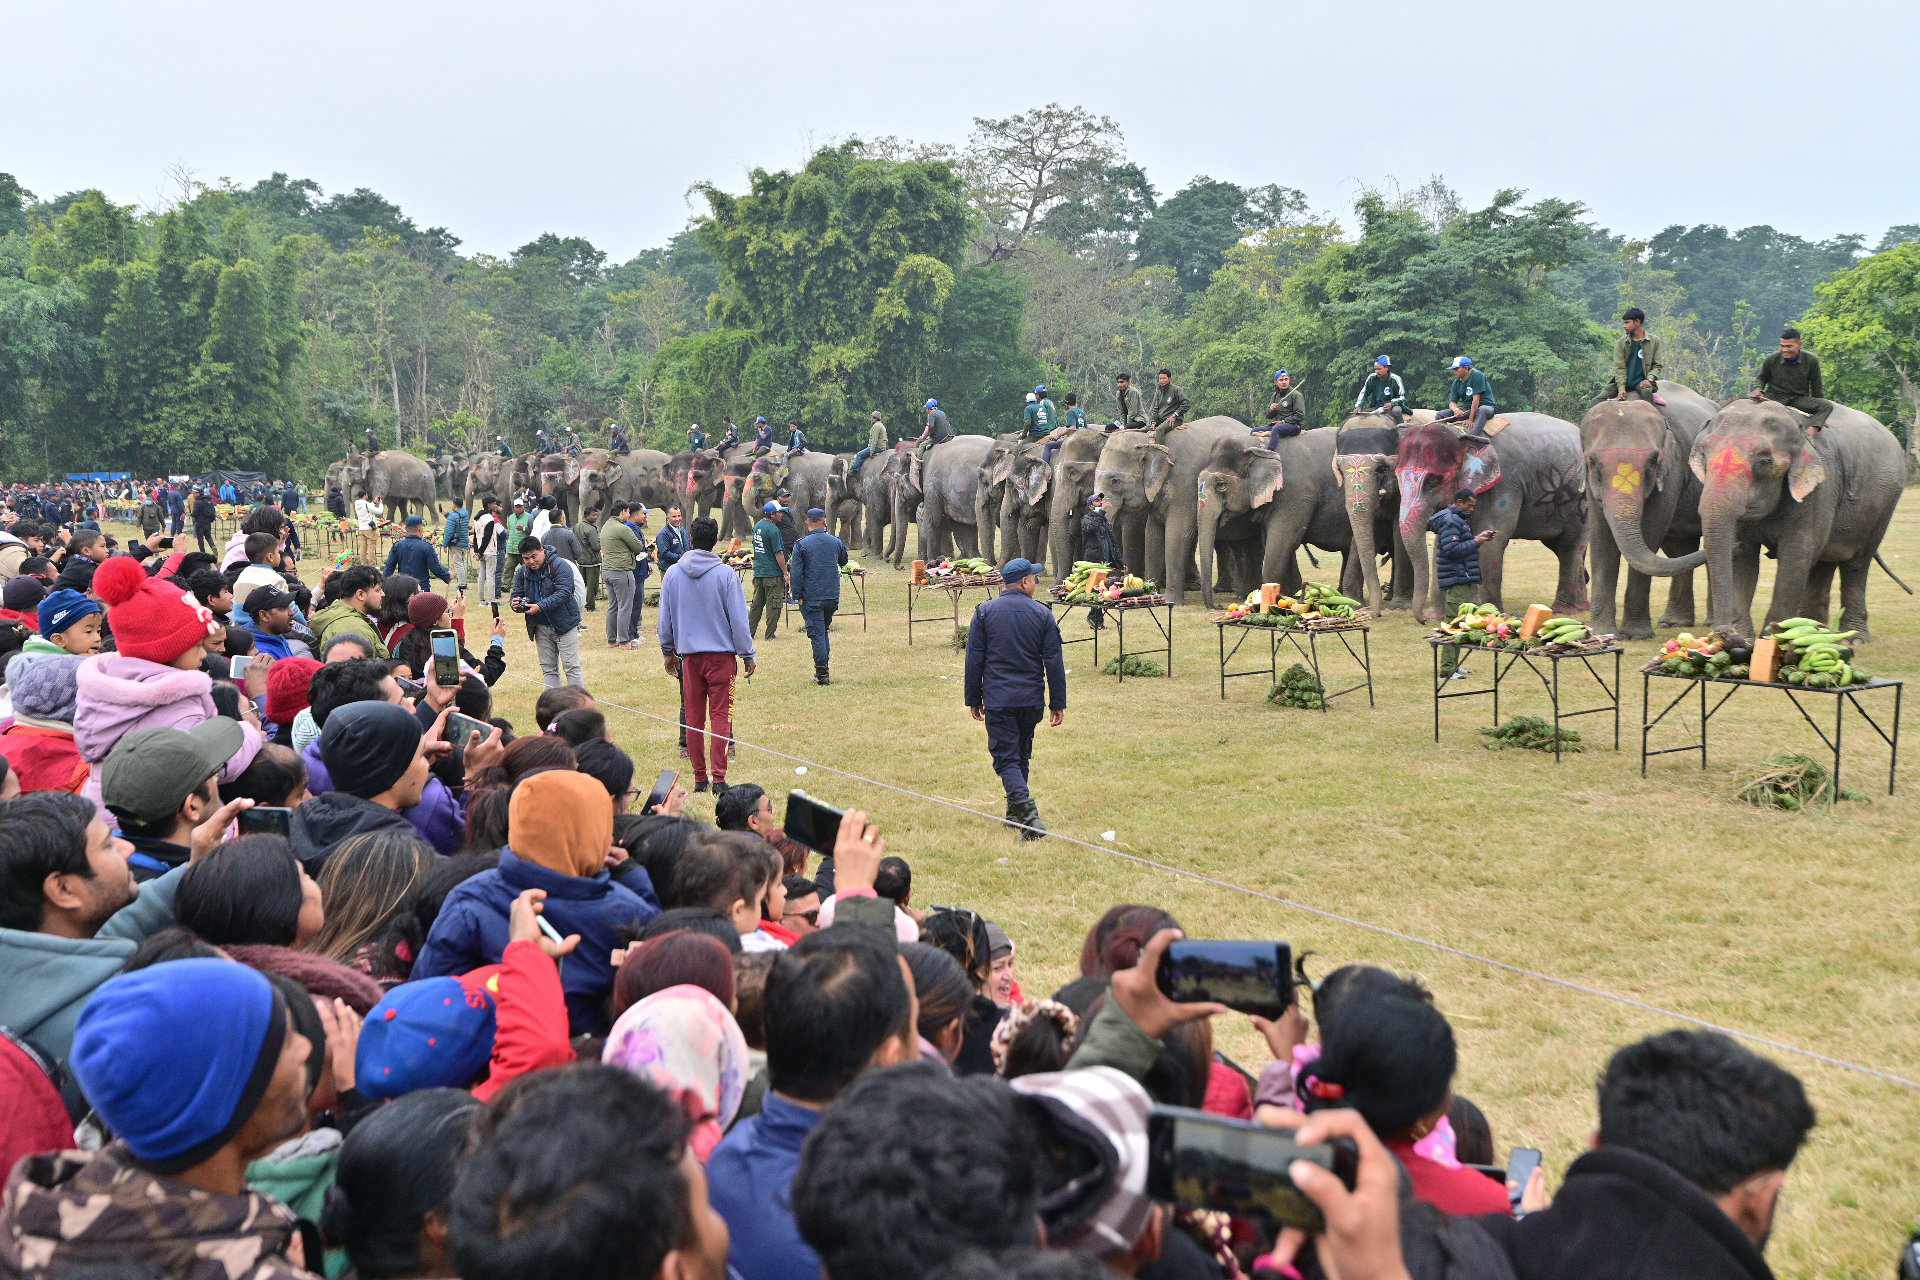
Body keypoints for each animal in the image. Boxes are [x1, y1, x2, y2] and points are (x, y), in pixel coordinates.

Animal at [1098, 418, 1259, 602]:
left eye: (1115, 481)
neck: (1150, 439)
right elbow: (1153, 534)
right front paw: (1150, 591)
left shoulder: (1184, 484)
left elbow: (1177, 533)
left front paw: (1171, 600)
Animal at [1190, 427, 1374, 614]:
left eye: (1221, 486)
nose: (1218, 606)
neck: (1256, 446)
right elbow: (1275, 543)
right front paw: (1291, 595)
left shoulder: (1296, 494)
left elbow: (1282, 542)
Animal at [1397, 418, 1589, 621]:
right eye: (1397, 476)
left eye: (1434, 480)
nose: (1423, 619)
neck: (1464, 434)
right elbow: (1444, 545)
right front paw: (1439, 617)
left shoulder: (1505, 483)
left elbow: (1493, 542)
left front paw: (1490, 613)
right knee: (1563, 547)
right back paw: (1582, 606)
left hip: (1581, 500)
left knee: (1569, 546)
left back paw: (1564, 609)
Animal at [1582, 383, 1720, 637]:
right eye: (1594, 462)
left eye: (1652, 462)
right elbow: (1600, 536)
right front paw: (1602, 632)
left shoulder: (1671, 468)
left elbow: (1650, 531)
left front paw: (1635, 634)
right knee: (1680, 548)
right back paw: (1674, 622)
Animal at [1697, 401, 1904, 640]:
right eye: (1704, 455)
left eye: (1764, 461)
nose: (1723, 633)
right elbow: (1743, 558)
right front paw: (1744, 639)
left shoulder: (1818, 491)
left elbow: (1796, 555)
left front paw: (1773, 638)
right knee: (1824, 562)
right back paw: (1817, 631)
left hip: (1884, 504)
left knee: (1857, 564)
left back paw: (1855, 638)